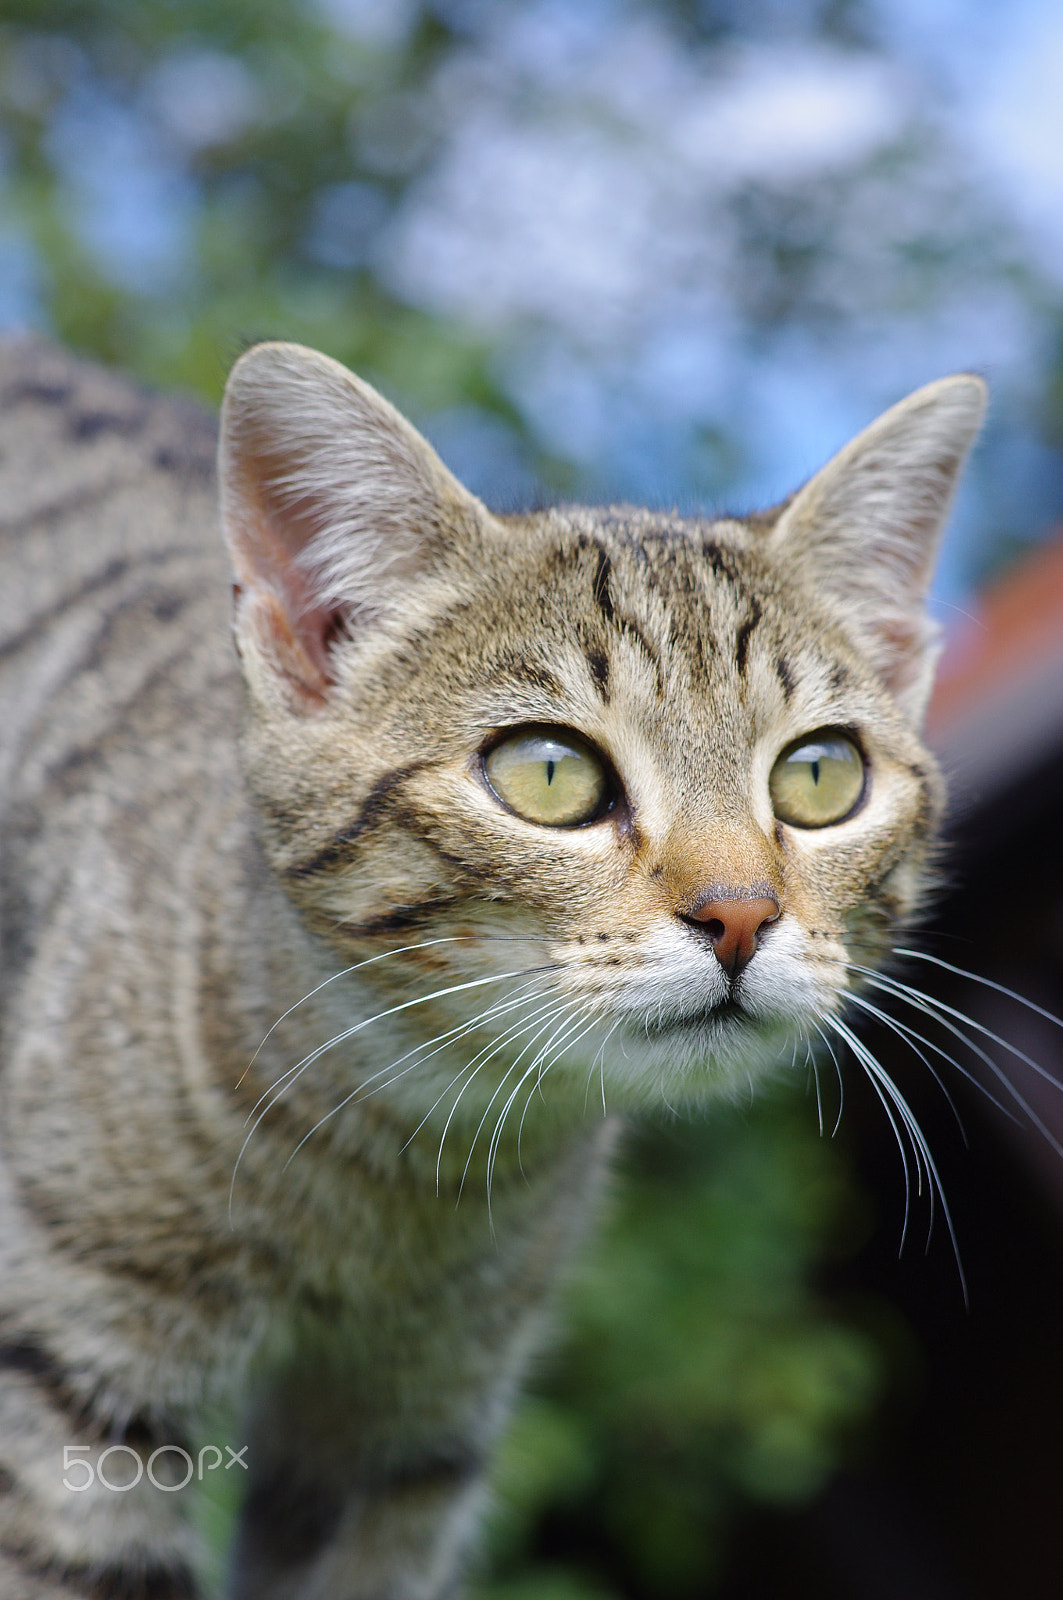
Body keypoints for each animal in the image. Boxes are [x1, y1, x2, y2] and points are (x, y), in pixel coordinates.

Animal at [0, 331, 986, 1593]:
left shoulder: (411, 1442)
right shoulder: (65, 1387)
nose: (739, 915)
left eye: (819, 775)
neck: (399, 1162)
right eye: (549, 772)